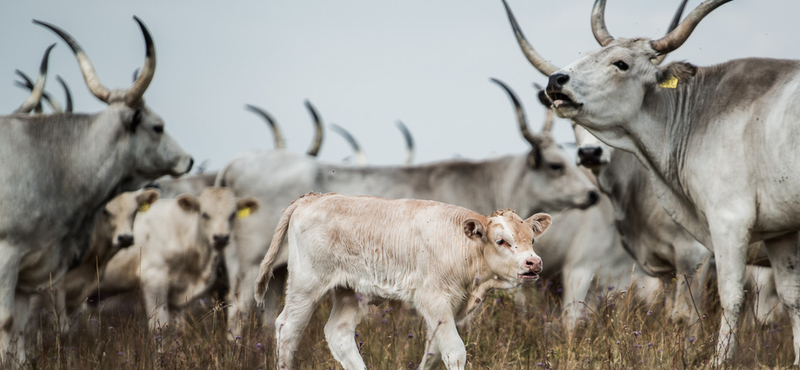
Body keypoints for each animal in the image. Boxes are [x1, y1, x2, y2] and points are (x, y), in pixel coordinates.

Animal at [0, 18, 192, 362]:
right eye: (157, 127)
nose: (188, 160)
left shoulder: (30, 270)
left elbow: (19, 332)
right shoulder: (9, 257)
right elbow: (10, 323)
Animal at [504, 0, 800, 364]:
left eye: (621, 63)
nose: (556, 78)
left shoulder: (717, 235)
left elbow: (722, 302)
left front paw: (714, 361)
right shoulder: (779, 231)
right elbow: (790, 299)